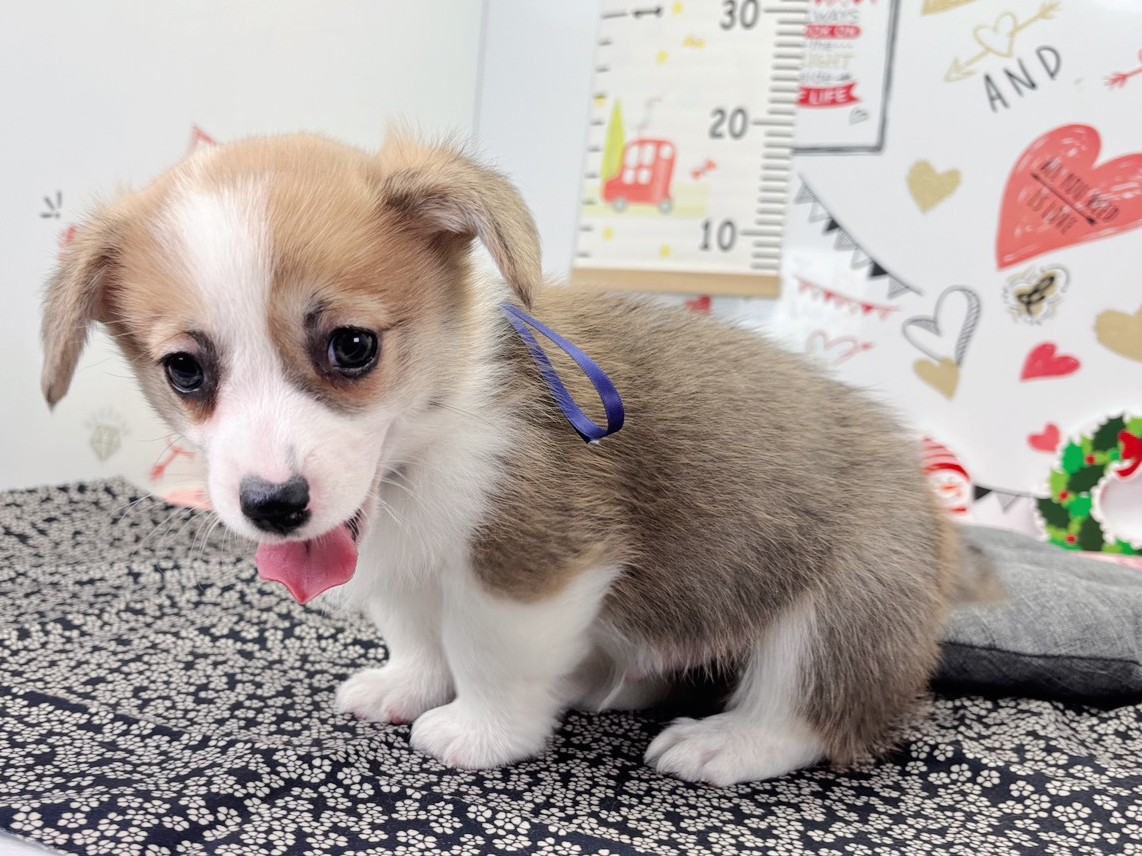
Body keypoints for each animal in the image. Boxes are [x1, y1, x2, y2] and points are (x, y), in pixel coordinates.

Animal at [41, 133, 994, 785]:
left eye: (353, 346)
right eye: (185, 370)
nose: (275, 505)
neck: (430, 444)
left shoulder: (529, 569)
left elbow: (487, 653)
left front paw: (482, 732)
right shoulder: (402, 567)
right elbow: (419, 636)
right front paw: (409, 687)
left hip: (846, 608)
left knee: (813, 710)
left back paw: (728, 739)